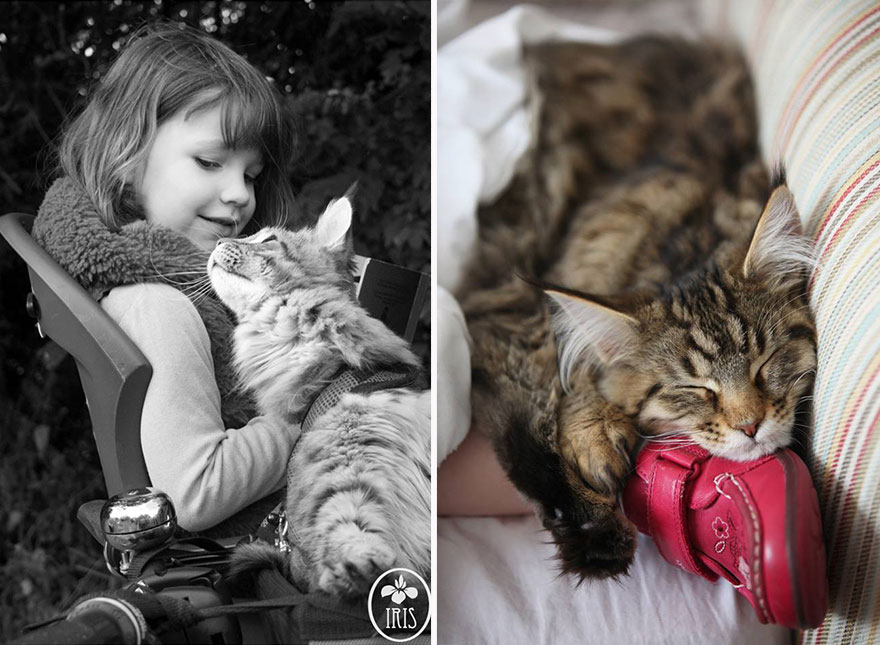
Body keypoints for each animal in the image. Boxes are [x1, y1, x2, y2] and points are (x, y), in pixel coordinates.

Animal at [213, 197, 434, 600]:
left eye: (268, 239)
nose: (219, 241)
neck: (335, 370)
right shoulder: (340, 466)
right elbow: (344, 515)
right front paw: (358, 565)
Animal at [460, 34, 820, 580]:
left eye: (765, 365)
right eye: (696, 388)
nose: (749, 426)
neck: (686, 241)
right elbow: (578, 376)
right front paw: (594, 436)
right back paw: (597, 534)